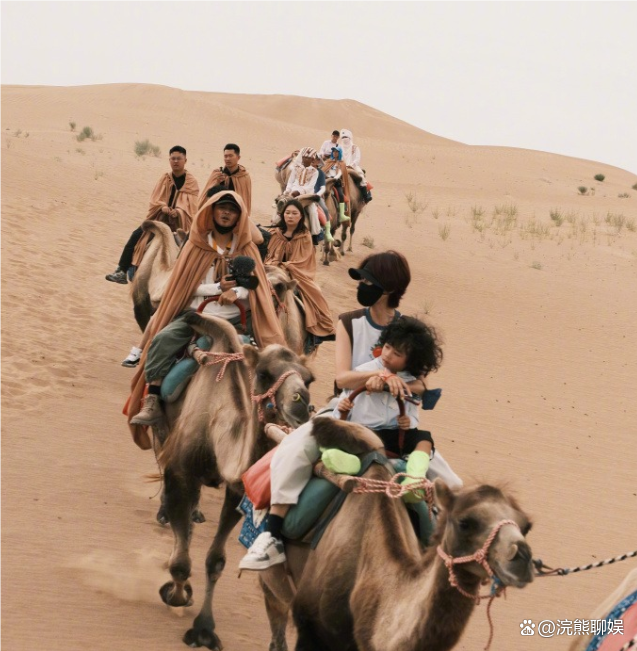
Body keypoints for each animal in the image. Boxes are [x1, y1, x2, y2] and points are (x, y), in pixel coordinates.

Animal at [155, 312, 314, 651]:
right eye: (264, 374)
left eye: (309, 379)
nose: (300, 402)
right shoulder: (182, 473)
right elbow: (182, 562)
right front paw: (176, 594)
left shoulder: (237, 490)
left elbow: (215, 560)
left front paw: (204, 629)